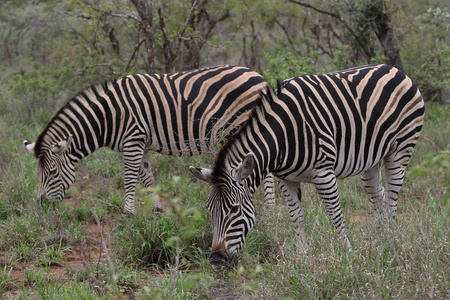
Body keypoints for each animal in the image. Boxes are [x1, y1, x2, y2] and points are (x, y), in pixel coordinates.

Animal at [25, 65, 278, 216]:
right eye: (38, 174)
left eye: (52, 173)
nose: (41, 205)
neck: (108, 117)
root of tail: (258, 76)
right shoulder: (142, 143)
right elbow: (147, 177)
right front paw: (157, 208)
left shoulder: (133, 139)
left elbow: (129, 178)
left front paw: (128, 213)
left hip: (243, 124)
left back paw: (271, 208)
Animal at [190, 64, 426, 268]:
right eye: (209, 210)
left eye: (234, 209)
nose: (216, 261)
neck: (282, 136)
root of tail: (394, 69)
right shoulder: (285, 179)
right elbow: (296, 216)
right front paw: (302, 255)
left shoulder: (324, 174)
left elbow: (335, 216)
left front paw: (348, 254)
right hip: (371, 160)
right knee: (379, 198)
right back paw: (382, 241)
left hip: (400, 149)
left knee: (392, 199)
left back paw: (392, 240)